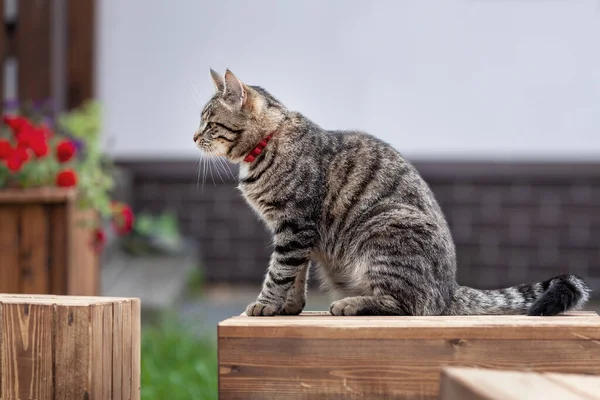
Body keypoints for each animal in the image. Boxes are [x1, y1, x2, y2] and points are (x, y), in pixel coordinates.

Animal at [193, 69, 592, 318]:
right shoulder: (294, 233)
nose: (194, 137)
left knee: (410, 304)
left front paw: (265, 304)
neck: (267, 144)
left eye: (209, 123)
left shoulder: (295, 226)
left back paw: (352, 304)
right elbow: (295, 275)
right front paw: (288, 307)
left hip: (383, 229)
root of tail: (449, 288)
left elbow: (279, 272)